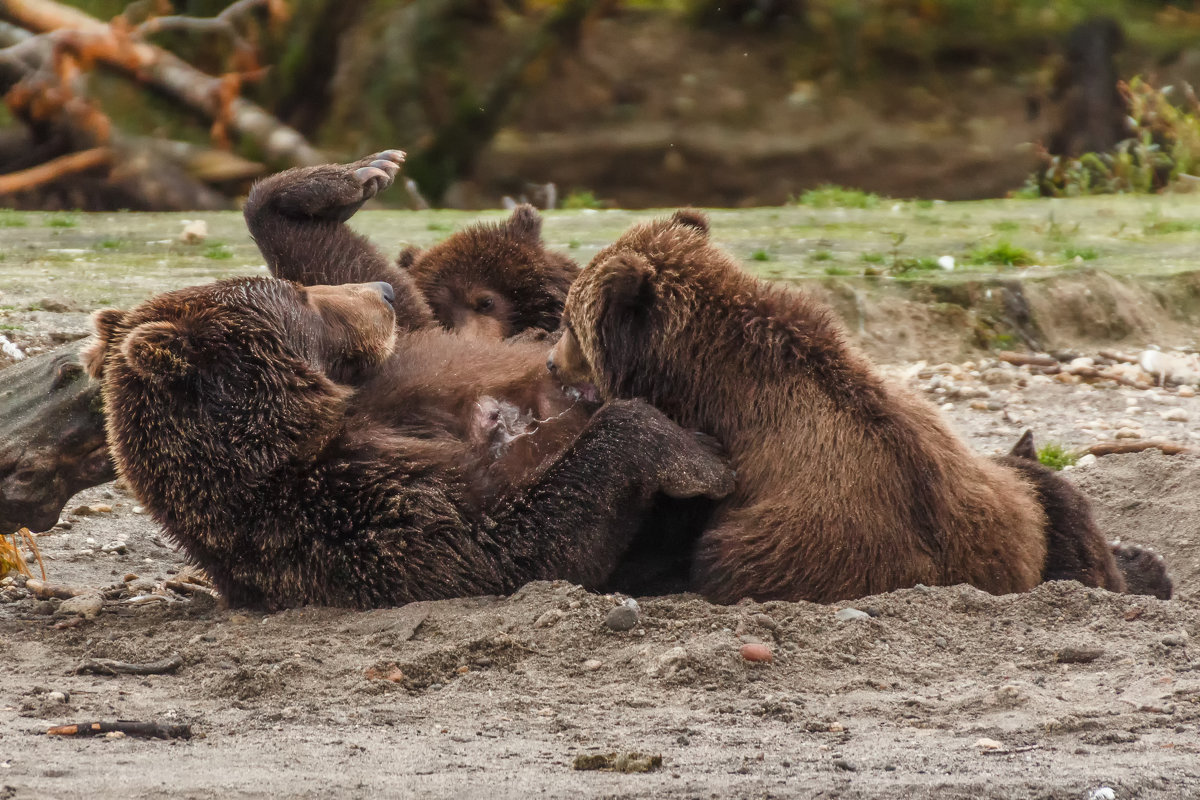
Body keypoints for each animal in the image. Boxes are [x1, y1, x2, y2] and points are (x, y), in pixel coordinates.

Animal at [549, 209, 1166, 604]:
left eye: (568, 323)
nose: (551, 364)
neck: (707, 380)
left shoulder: (716, 472)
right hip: (1011, 513)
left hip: (781, 548)